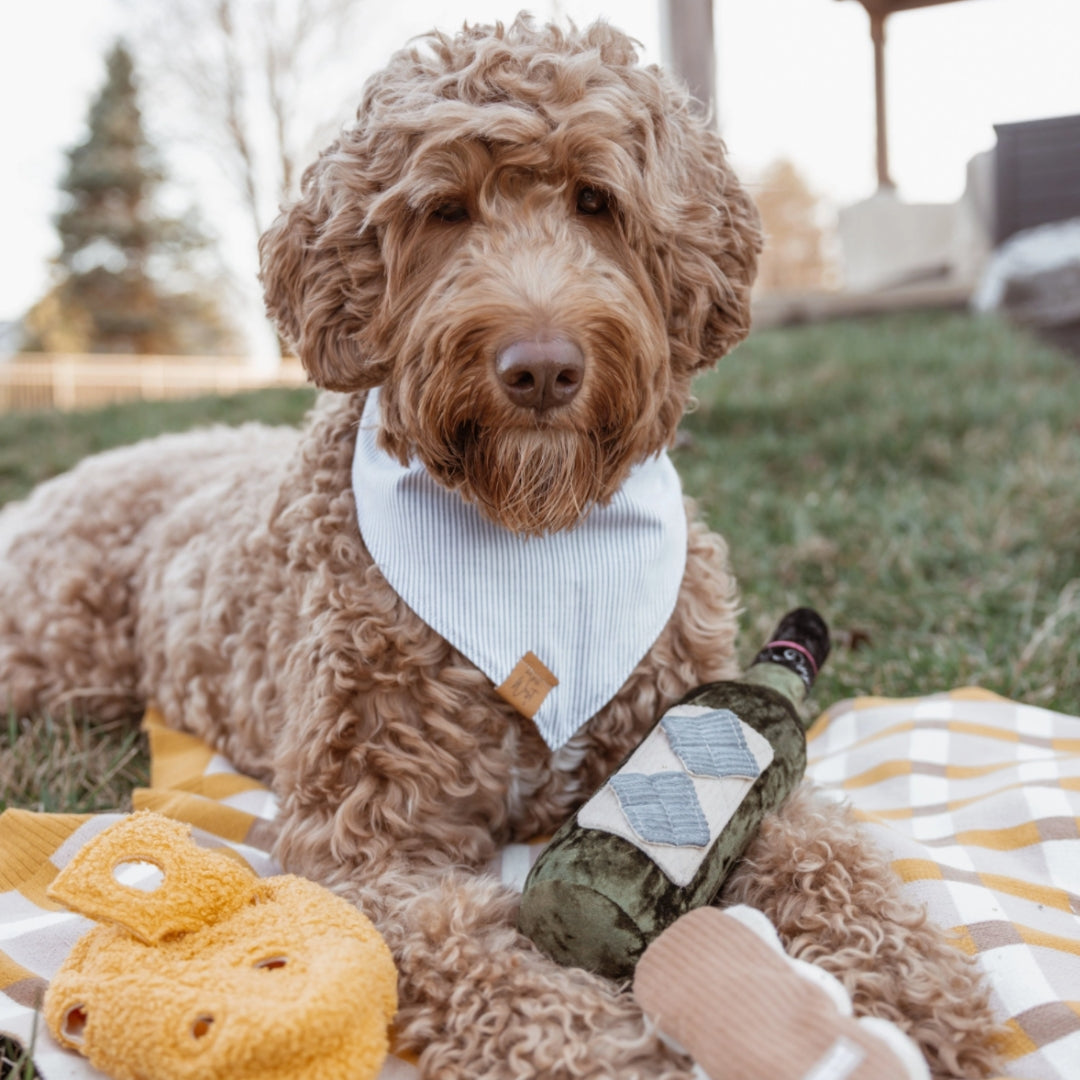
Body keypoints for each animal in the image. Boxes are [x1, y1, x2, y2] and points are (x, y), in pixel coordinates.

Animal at [0, 16, 997, 1080]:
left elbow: (821, 854)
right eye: (443, 210)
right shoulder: (364, 850)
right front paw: (615, 1045)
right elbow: (467, 952)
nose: (543, 367)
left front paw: (916, 995)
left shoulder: (708, 747)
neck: (534, 538)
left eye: (598, 200)